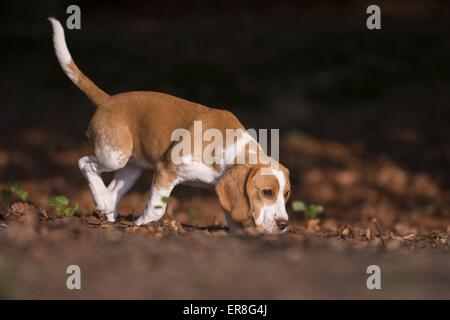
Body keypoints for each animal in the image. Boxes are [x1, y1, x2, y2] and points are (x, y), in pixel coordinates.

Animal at [47, 17, 290, 232]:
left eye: (286, 194)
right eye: (267, 192)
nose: (284, 224)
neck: (229, 148)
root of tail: (108, 99)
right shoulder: (166, 171)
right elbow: (156, 209)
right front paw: (141, 225)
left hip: (132, 169)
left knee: (113, 190)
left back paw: (107, 211)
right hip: (115, 155)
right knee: (85, 163)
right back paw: (103, 201)